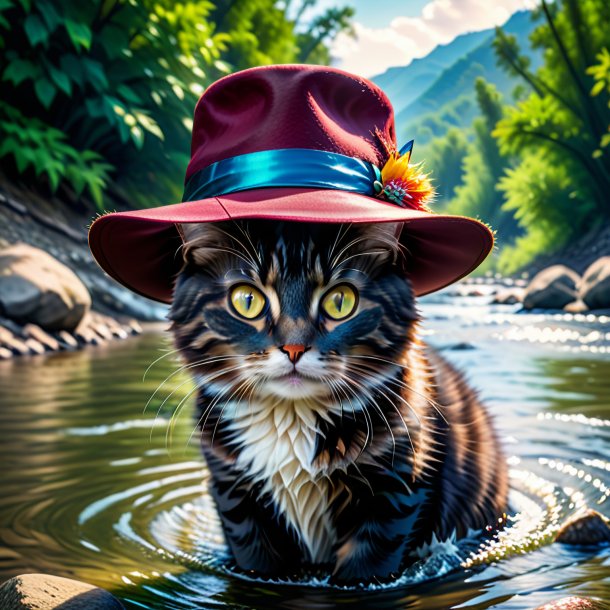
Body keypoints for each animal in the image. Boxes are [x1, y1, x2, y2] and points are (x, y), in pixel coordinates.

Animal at [169, 218, 506, 580]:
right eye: (247, 300)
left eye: (340, 301)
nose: (294, 347)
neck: (291, 419)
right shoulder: (237, 497)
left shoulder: (393, 492)